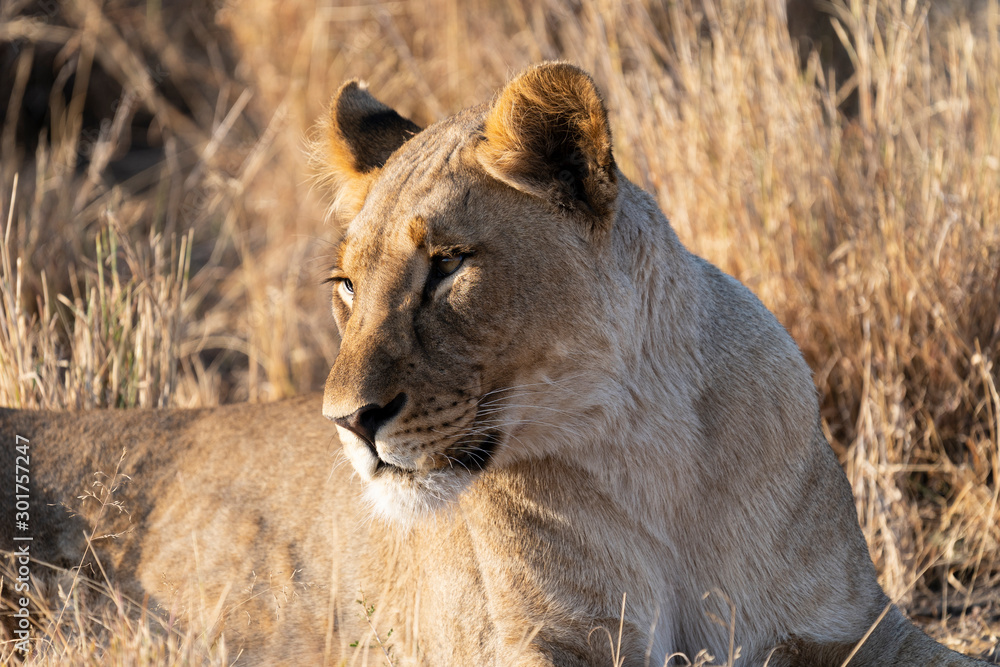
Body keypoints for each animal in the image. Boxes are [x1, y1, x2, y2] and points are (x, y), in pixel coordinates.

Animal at [1, 63, 993, 666]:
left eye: (447, 266)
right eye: (345, 285)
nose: (346, 422)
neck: (651, 454)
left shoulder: (855, 621)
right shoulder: (540, 640)